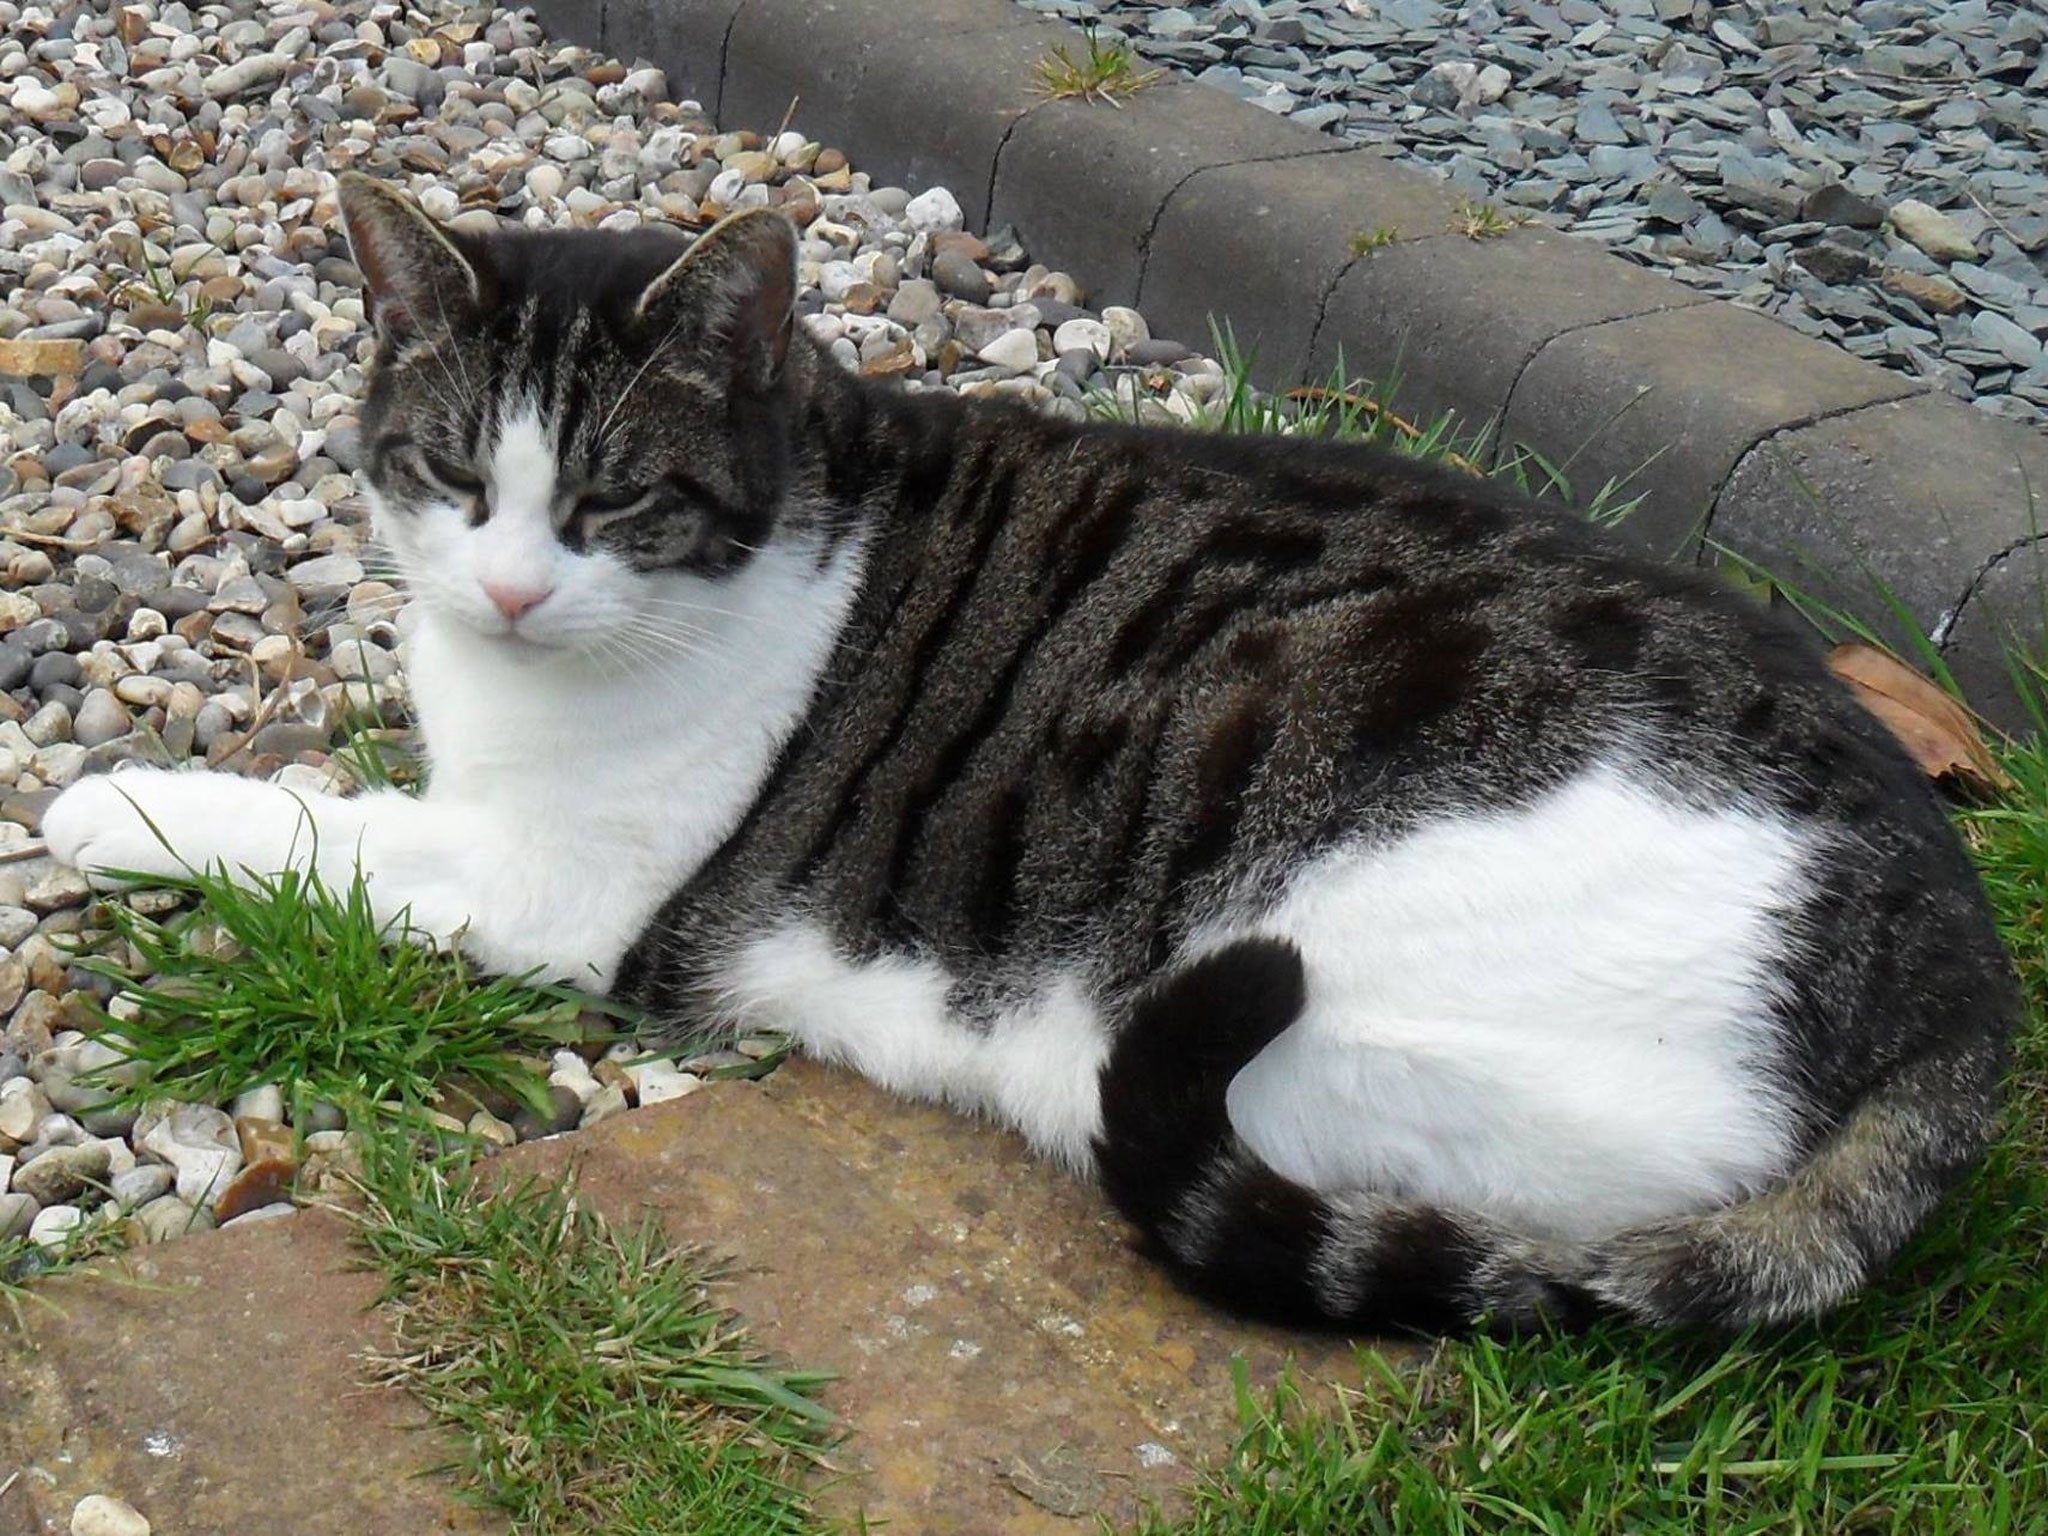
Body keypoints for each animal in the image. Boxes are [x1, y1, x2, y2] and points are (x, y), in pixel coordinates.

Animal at [44, 174, 2015, 1335]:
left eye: (613, 501)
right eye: (454, 476)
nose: (517, 589)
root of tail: (1956, 968)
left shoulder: (547, 885)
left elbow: (322, 828)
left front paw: (109, 798)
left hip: (1305, 1015)